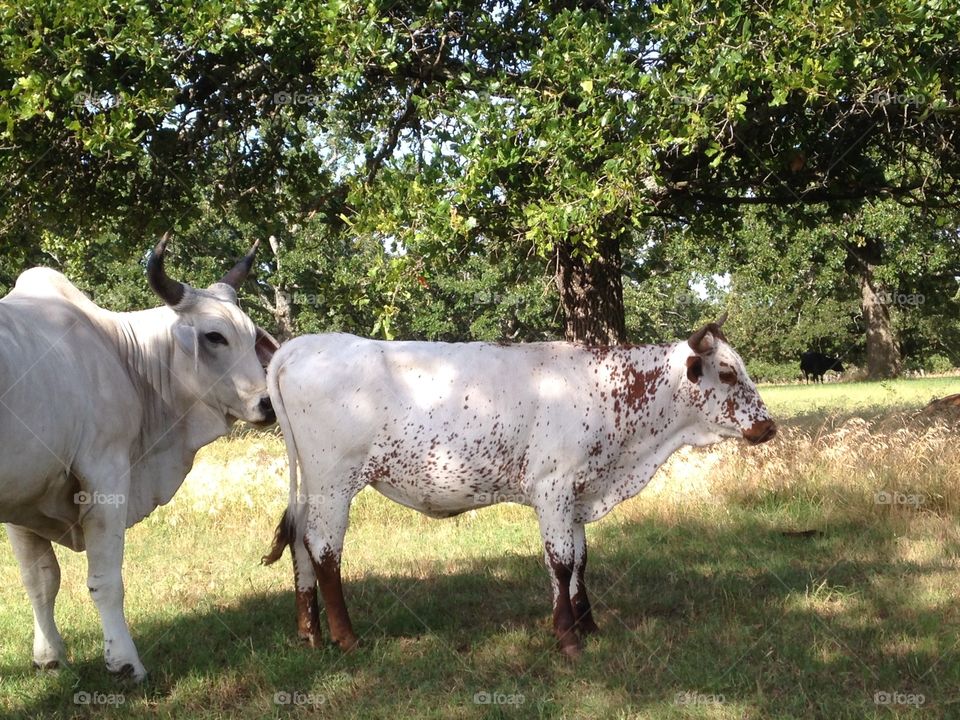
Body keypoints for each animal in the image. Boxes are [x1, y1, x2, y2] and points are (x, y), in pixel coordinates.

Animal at [0, 236, 280, 680]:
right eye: (214, 336)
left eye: (251, 334)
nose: (266, 403)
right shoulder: (106, 475)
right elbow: (105, 580)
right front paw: (124, 662)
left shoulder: (23, 497)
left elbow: (40, 579)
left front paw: (48, 656)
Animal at [262, 320, 772, 660]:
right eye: (728, 374)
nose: (768, 425)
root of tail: (301, 346)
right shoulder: (553, 486)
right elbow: (560, 563)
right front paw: (568, 637)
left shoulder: (577, 494)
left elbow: (581, 560)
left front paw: (589, 625)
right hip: (334, 479)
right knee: (324, 549)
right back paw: (347, 637)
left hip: (313, 484)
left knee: (301, 543)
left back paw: (310, 633)